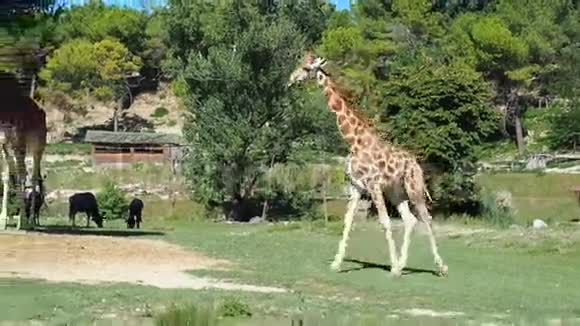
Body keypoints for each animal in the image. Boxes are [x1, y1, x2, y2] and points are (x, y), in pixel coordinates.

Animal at [0, 71, 47, 229]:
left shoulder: (18, 142)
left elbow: (21, 176)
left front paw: (22, 221)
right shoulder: (3, 144)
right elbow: (6, 177)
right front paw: (3, 220)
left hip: (38, 147)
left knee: (33, 176)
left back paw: (31, 219)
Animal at [288, 53, 448, 278]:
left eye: (306, 68)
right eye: (301, 64)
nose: (291, 79)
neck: (354, 141)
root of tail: (416, 163)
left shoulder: (373, 185)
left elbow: (385, 222)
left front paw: (391, 267)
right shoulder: (356, 187)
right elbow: (348, 221)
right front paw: (336, 264)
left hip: (413, 187)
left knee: (427, 218)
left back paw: (440, 267)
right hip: (395, 191)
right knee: (410, 219)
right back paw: (402, 265)